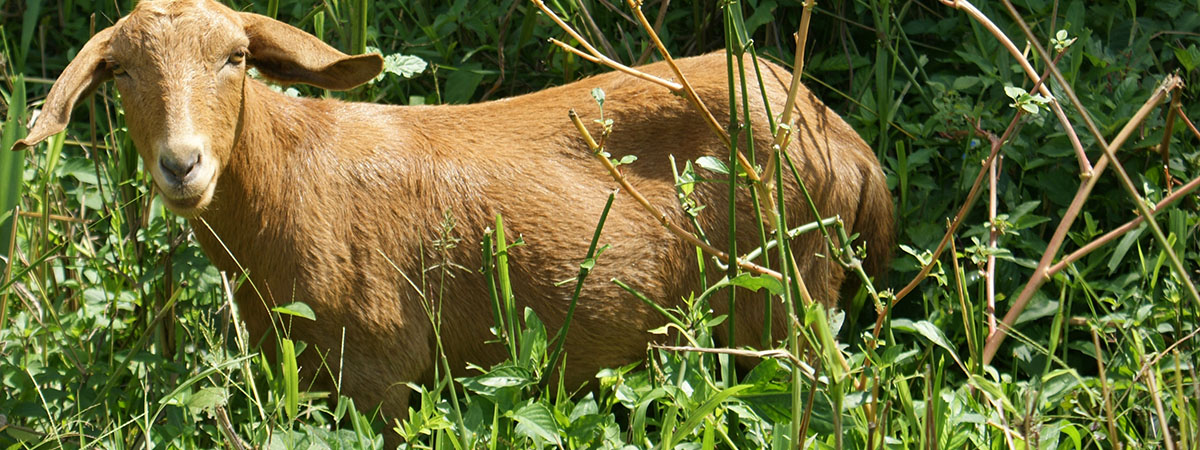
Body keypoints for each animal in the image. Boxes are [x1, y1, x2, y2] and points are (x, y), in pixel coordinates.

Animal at [15, 0, 893, 430]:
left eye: (234, 57)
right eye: (121, 71)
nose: (182, 164)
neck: (290, 183)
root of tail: (847, 143)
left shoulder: (379, 370)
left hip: (782, 298)